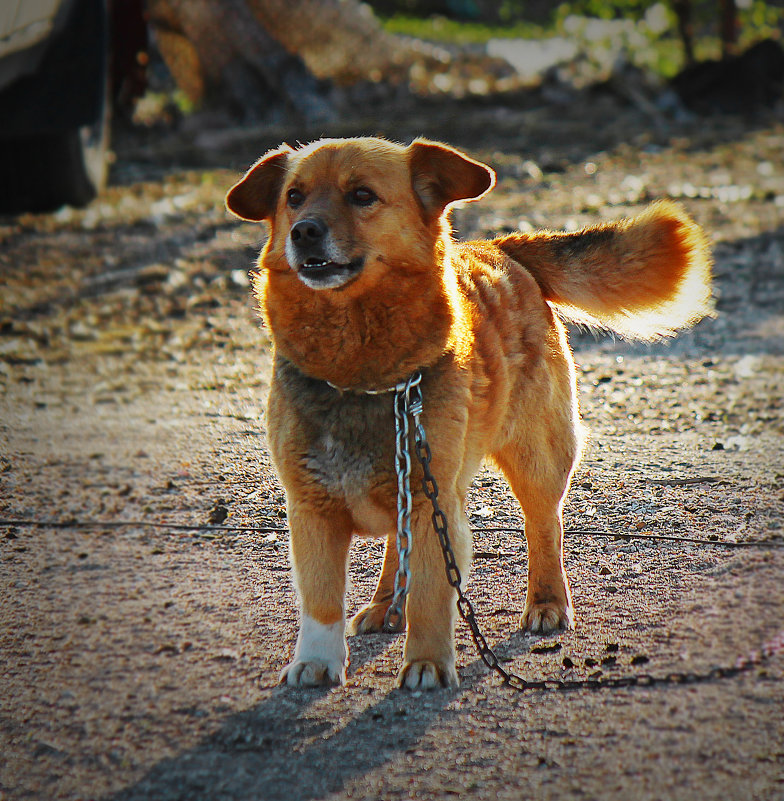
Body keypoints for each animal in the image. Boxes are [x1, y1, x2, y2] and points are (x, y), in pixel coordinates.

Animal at [224, 138, 712, 688]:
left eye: (362, 195)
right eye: (294, 196)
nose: (303, 230)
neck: (360, 373)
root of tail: (502, 247)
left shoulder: (436, 502)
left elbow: (432, 596)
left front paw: (427, 662)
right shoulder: (313, 507)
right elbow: (321, 601)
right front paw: (315, 661)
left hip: (534, 457)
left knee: (544, 526)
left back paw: (546, 602)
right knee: (398, 545)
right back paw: (386, 603)